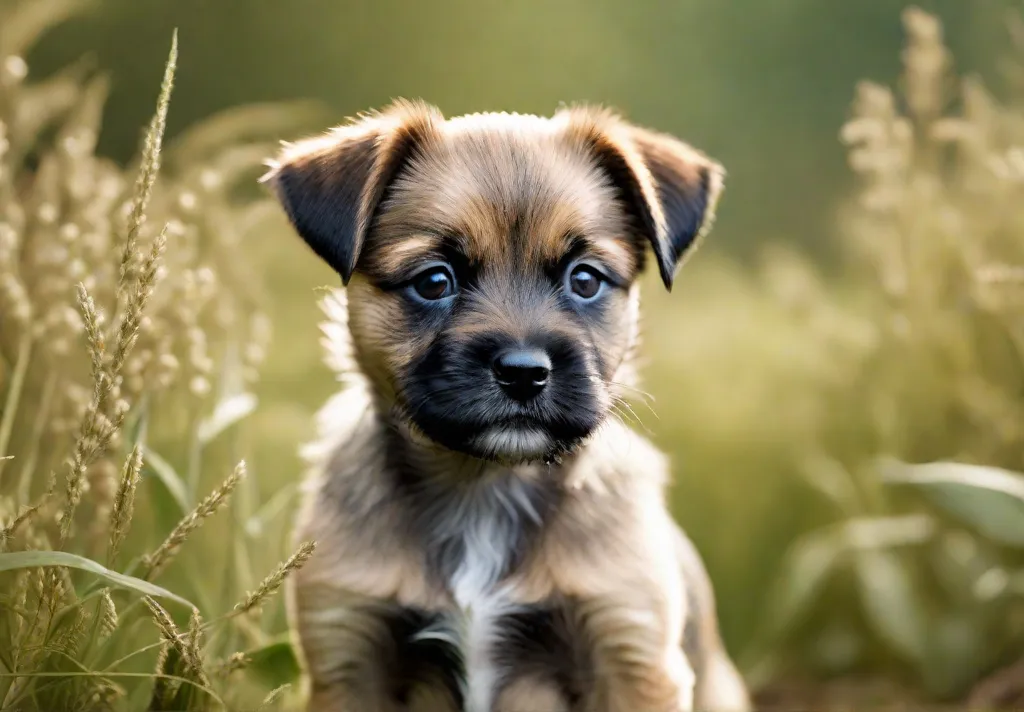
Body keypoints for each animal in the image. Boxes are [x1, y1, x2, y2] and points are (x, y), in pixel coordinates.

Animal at [260, 100, 749, 712]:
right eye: (434, 281)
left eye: (584, 279)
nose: (523, 372)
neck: (485, 488)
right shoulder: (349, 651)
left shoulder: (630, 649)